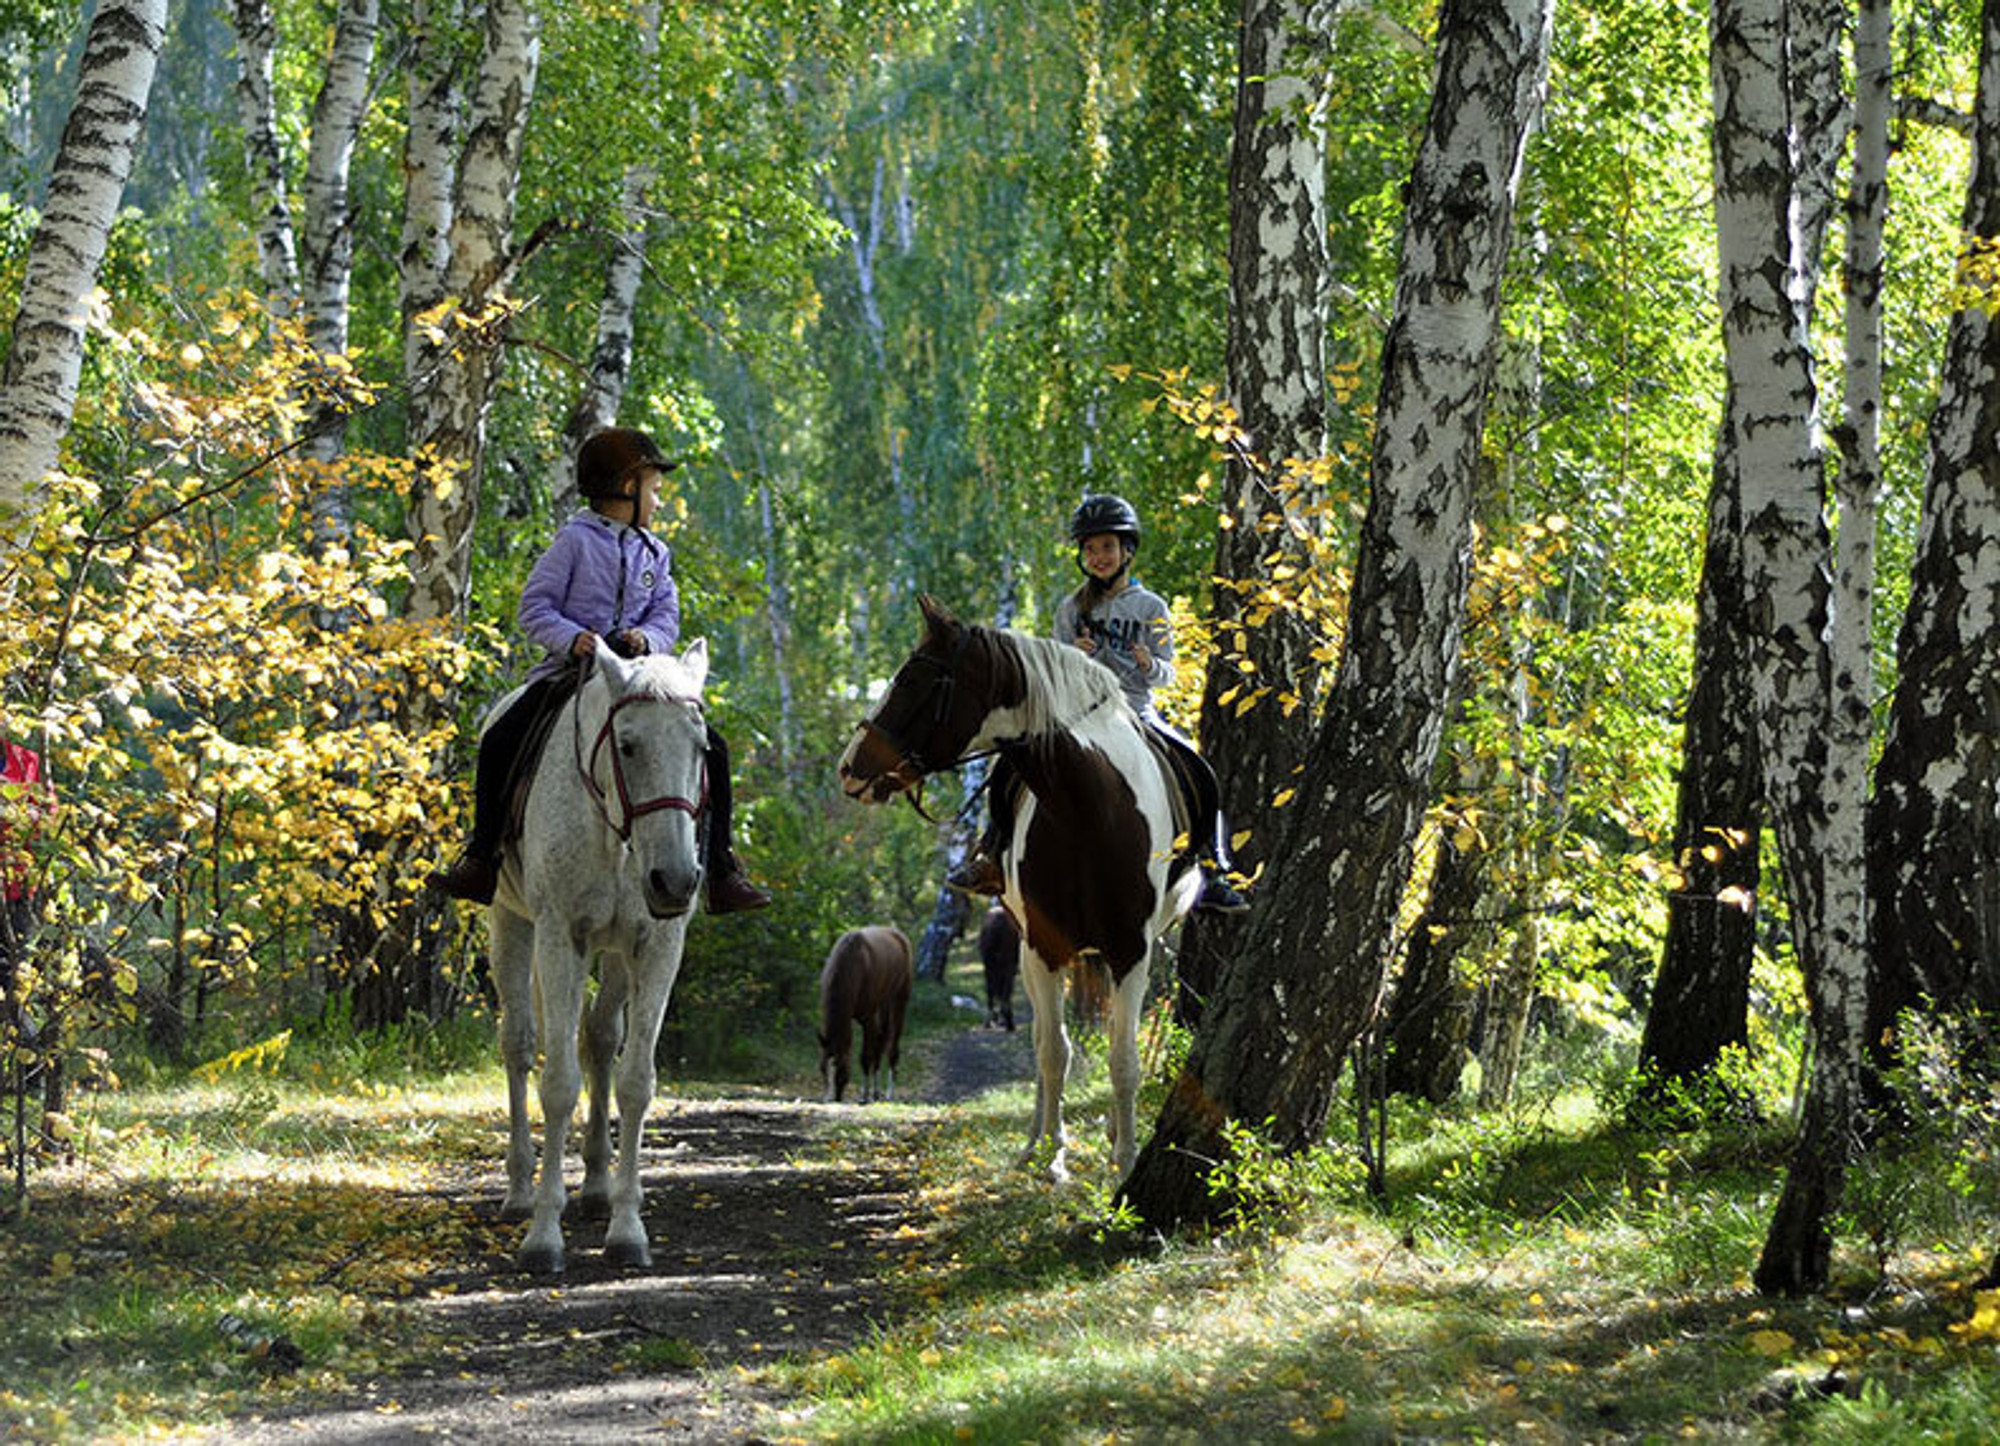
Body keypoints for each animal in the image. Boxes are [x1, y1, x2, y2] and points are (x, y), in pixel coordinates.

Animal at [484, 640, 712, 1272]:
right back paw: (520, 1191)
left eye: (701, 748)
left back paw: (595, 1185)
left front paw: (627, 1229)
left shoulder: (657, 947)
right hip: (513, 925)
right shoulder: (560, 937)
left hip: (612, 956)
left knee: (601, 1040)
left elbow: (634, 1082)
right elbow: (557, 1082)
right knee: (520, 1046)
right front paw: (543, 1236)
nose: (675, 881)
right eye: (628, 745)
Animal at [832, 592, 1192, 1184]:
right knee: (1047, 1042)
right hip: (1029, 950)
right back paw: (1034, 1143)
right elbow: (1052, 1053)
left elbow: (1124, 1059)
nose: (849, 768)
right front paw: (1053, 1155)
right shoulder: (1044, 947)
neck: (1087, 808)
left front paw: (1125, 1163)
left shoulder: (1131, 951)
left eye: (913, 679)